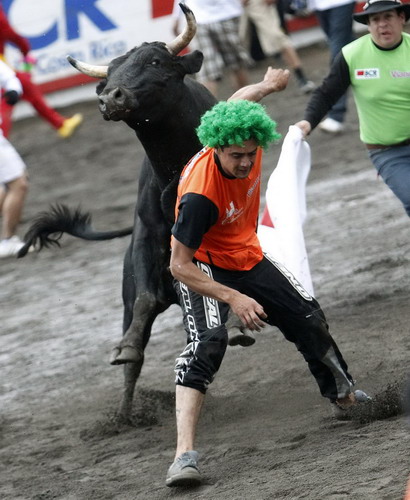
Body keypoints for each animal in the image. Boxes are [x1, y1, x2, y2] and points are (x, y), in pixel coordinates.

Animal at [17, 5, 221, 420]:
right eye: (109, 73)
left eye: (156, 60)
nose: (111, 96)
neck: (174, 166)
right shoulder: (145, 236)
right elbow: (143, 303)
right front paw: (125, 349)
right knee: (136, 352)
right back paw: (125, 415)